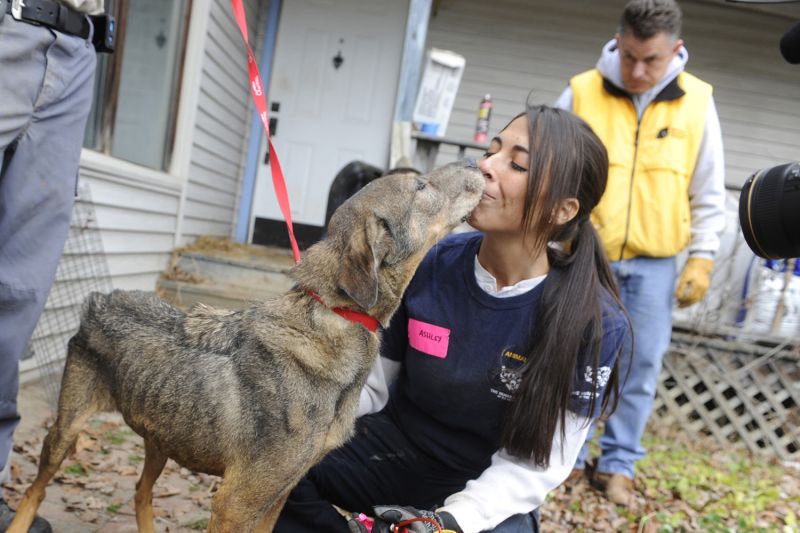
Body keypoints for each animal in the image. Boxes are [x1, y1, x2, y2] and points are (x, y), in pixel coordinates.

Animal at [7, 160, 482, 528]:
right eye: (421, 186)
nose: (478, 162)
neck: (333, 315)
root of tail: (100, 299)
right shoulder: (236, 501)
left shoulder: (278, 495)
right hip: (66, 431)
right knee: (36, 488)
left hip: (162, 438)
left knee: (141, 492)